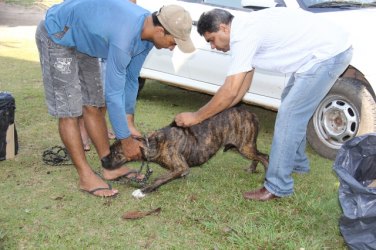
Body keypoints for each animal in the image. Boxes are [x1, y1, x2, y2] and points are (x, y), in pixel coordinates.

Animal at [110, 105, 268, 193]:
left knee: (264, 156)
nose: (104, 161)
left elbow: (160, 179)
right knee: (258, 156)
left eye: (116, 153)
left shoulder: (181, 167)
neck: (154, 143)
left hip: (244, 147)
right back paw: (252, 168)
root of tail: (252, 114)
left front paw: (143, 191)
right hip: (240, 146)